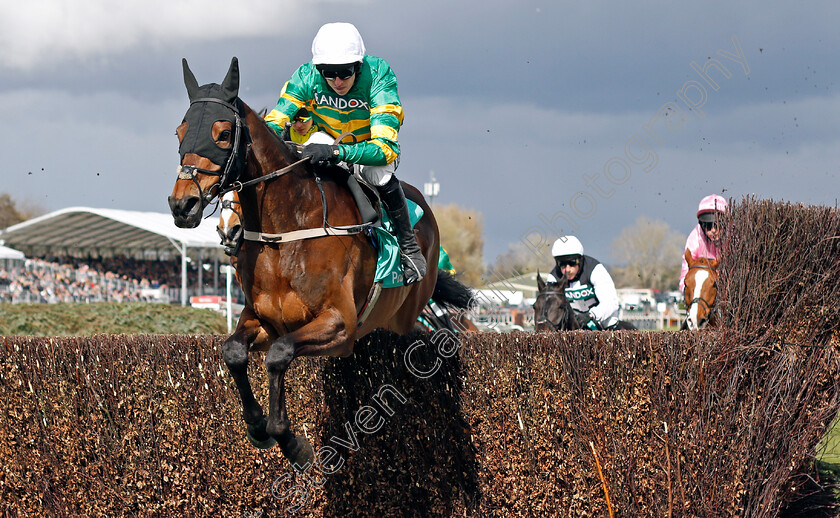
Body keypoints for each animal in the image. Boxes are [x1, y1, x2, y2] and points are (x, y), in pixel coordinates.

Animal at [169, 58, 472, 472]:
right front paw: (259, 427)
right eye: (180, 131)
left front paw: (293, 442)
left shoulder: (339, 323)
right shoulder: (264, 319)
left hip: (405, 314)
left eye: (223, 132)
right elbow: (234, 352)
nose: (182, 204)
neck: (287, 232)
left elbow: (280, 355)